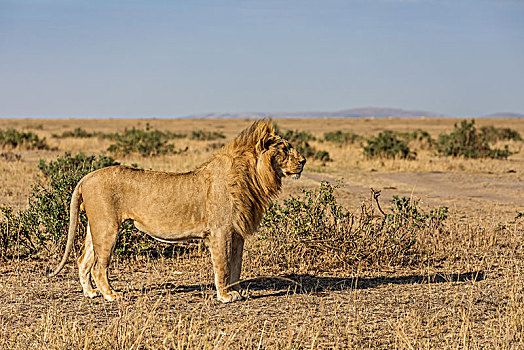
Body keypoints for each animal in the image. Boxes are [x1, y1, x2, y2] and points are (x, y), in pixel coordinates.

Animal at [48, 119, 308, 302]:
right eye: (285, 149)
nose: (304, 161)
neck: (253, 177)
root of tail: (85, 177)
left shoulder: (237, 233)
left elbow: (236, 265)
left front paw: (238, 292)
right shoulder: (220, 231)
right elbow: (223, 265)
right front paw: (225, 296)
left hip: (96, 227)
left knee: (83, 260)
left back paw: (91, 293)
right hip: (108, 228)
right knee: (98, 266)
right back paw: (111, 295)